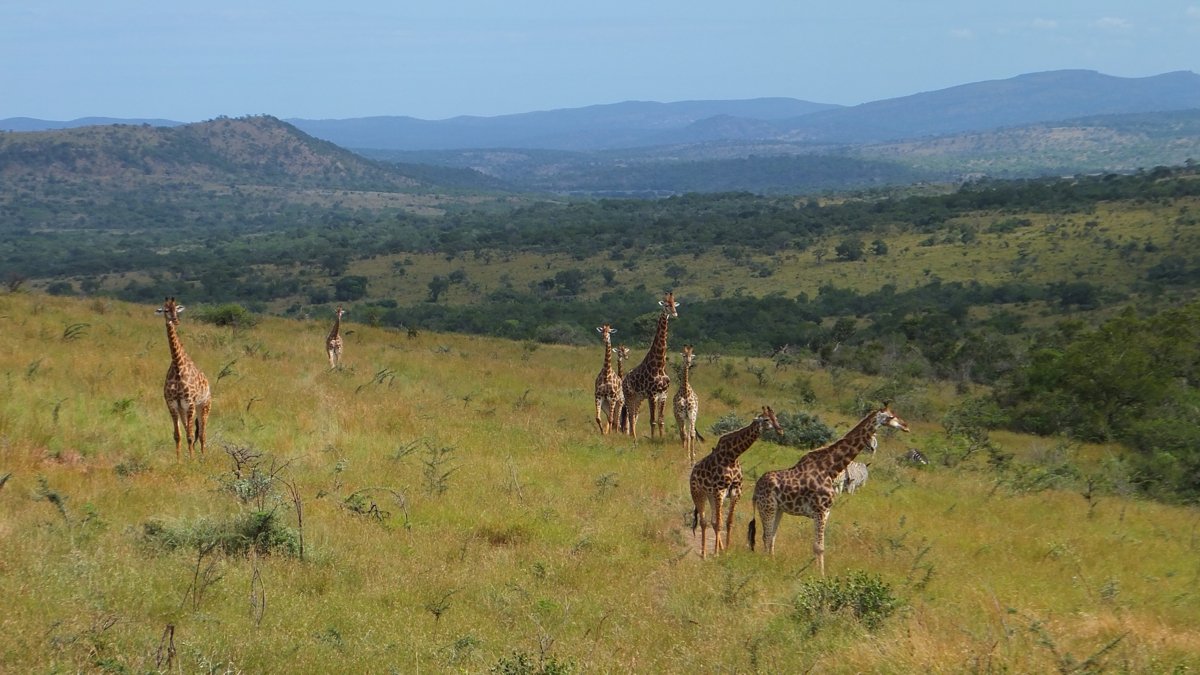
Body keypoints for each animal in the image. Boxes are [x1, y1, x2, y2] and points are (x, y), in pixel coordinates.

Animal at [156, 297, 212, 460]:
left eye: (177, 309)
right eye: (165, 310)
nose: (175, 320)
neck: (177, 366)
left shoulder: (190, 403)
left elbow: (191, 436)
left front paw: (192, 461)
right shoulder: (173, 404)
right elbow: (178, 435)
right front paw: (179, 461)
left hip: (204, 406)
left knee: (203, 434)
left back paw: (202, 458)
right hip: (183, 410)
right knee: (190, 431)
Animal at [621, 291, 678, 440]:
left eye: (674, 304)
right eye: (666, 305)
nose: (675, 313)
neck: (659, 365)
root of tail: (623, 379)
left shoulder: (663, 394)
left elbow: (661, 420)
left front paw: (661, 439)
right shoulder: (652, 394)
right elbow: (652, 420)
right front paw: (652, 439)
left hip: (639, 397)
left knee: (634, 414)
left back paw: (633, 435)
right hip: (629, 395)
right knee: (630, 415)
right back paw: (633, 437)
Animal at [689, 406, 783, 558]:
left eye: (776, 418)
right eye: (766, 419)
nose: (780, 430)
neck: (732, 456)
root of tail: (693, 471)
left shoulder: (736, 492)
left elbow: (729, 522)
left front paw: (726, 551)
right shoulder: (720, 491)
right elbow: (720, 523)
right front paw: (716, 553)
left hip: (710, 496)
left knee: (712, 521)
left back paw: (719, 549)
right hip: (698, 493)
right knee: (704, 522)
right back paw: (704, 554)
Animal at [747, 403, 910, 576]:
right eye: (891, 416)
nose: (906, 426)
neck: (830, 468)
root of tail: (756, 488)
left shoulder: (826, 512)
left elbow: (819, 546)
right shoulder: (820, 510)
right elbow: (819, 547)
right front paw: (820, 575)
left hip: (779, 509)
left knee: (772, 537)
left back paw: (771, 562)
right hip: (768, 506)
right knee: (766, 535)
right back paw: (766, 563)